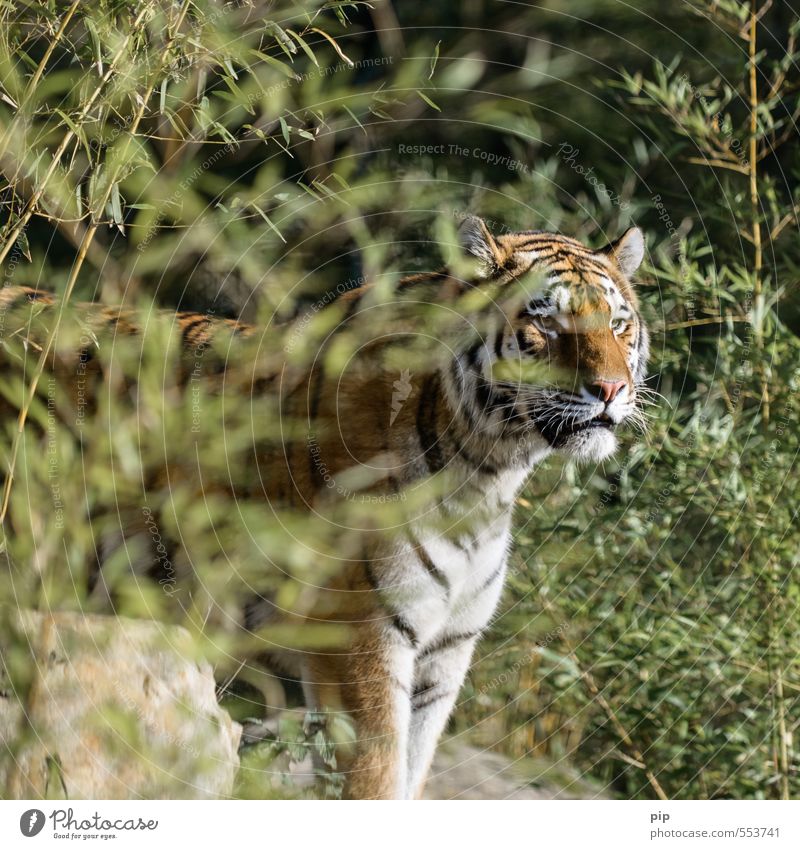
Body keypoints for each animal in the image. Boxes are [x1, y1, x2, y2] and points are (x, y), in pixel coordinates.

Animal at [0, 215, 648, 800]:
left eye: (618, 324)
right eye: (547, 323)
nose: (612, 390)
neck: (490, 470)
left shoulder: (446, 651)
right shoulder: (359, 636)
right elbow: (375, 781)